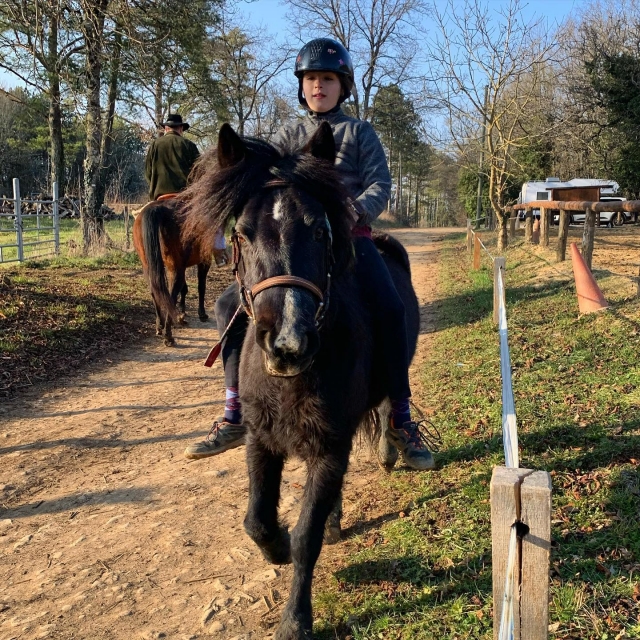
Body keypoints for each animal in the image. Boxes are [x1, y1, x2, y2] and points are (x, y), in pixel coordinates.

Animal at [132, 198, 213, 346]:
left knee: (155, 291)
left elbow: (185, 288)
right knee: (171, 295)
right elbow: (201, 287)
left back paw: (160, 326)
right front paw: (201, 314)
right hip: (174, 269)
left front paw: (182, 312)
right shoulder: (204, 261)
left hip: (148, 266)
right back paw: (168, 336)